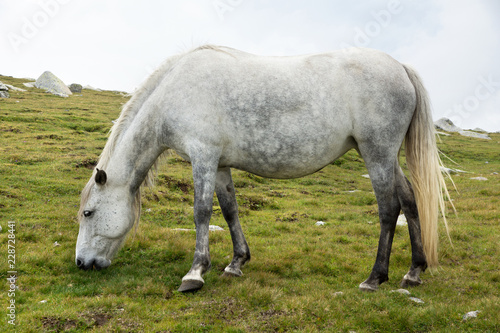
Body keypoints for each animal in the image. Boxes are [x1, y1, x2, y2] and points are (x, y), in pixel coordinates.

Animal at [75, 44, 454, 290]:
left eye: (89, 213)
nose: (81, 264)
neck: (174, 92)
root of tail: (400, 68)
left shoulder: (203, 156)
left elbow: (201, 212)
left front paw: (195, 273)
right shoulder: (220, 165)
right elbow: (229, 210)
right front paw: (236, 263)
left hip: (377, 154)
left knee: (389, 208)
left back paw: (375, 277)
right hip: (386, 157)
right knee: (410, 201)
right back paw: (413, 272)